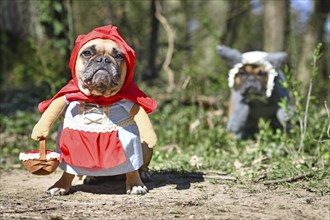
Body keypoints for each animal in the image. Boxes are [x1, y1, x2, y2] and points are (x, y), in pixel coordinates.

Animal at [31, 24, 158, 195]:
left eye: (119, 56)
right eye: (87, 53)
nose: (103, 59)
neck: (98, 98)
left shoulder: (130, 141)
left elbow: (132, 166)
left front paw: (135, 184)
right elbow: (67, 170)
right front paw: (61, 185)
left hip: (145, 146)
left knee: (141, 164)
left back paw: (144, 173)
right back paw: (91, 177)